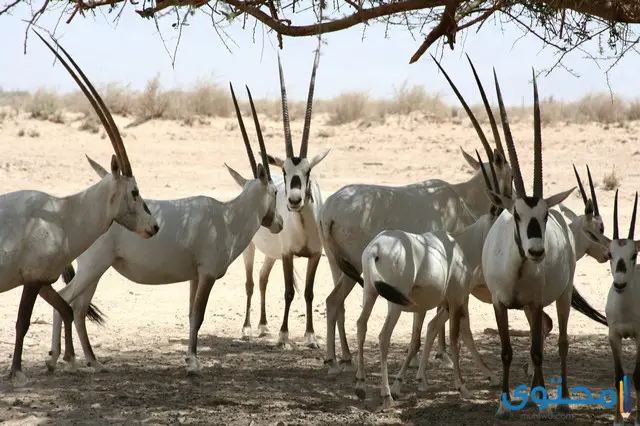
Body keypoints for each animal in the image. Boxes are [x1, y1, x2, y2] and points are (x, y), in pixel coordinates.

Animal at [0, 31, 158, 386]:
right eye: (134, 190)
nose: (154, 227)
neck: (63, 214)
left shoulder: (44, 280)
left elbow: (66, 308)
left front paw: (68, 360)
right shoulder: (32, 279)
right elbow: (23, 321)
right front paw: (18, 371)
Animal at [47, 83, 282, 376]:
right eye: (275, 191)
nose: (278, 223)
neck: (228, 217)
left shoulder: (195, 276)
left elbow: (192, 315)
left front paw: (189, 359)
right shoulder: (207, 275)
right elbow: (199, 315)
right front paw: (194, 363)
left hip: (96, 271)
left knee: (79, 309)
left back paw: (94, 361)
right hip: (93, 267)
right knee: (66, 300)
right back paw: (58, 359)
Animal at [240, 37, 330, 350]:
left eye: (307, 171)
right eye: (284, 170)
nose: (293, 201)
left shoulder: (314, 255)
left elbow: (309, 292)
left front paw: (311, 337)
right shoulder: (289, 254)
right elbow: (290, 291)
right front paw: (284, 336)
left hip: (271, 254)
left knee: (263, 279)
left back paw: (263, 327)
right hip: (250, 248)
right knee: (251, 282)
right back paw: (248, 329)